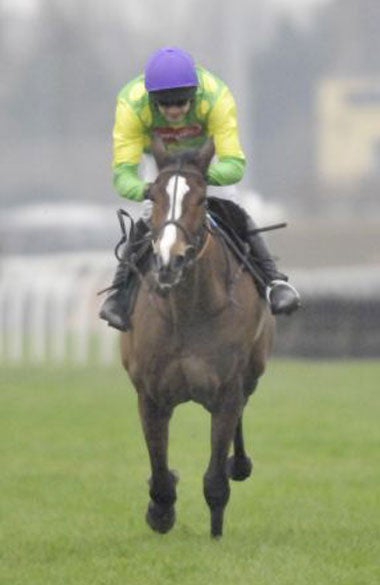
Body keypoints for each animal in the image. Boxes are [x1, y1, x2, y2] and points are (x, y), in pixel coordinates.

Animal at [120, 138, 274, 540]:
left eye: (203, 198)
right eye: (153, 195)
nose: (169, 259)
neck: (188, 311)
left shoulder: (227, 392)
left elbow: (215, 479)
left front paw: (216, 532)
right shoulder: (150, 395)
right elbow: (159, 469)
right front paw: (160, 510)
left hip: (252, 373)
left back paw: (241, 464)